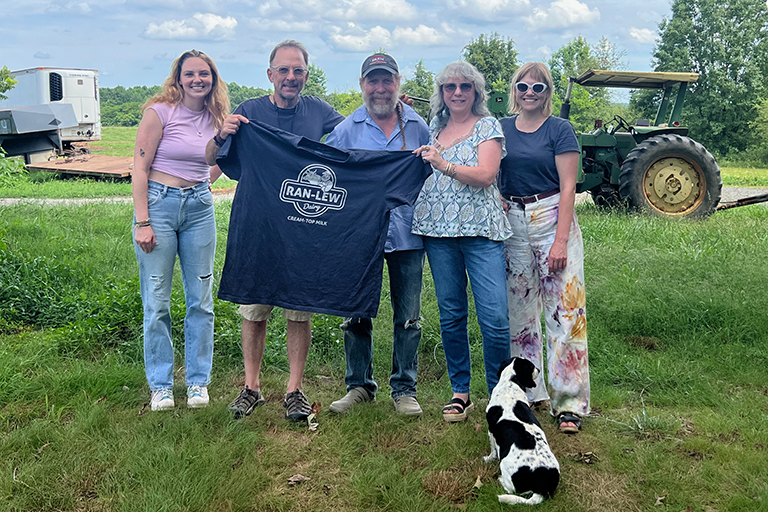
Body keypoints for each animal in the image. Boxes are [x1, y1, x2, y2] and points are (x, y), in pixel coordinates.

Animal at [486, 358, 560, 506]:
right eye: (532, 366)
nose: (539, 369)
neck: (510, 382)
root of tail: (542, 488)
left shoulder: (491, 431)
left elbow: (493, 451)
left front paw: (488, 459)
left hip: (504, 465)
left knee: (512, 490)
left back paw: (500, 480)